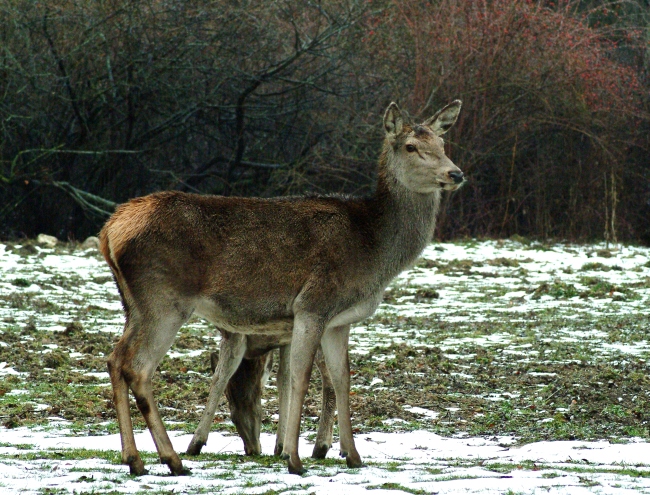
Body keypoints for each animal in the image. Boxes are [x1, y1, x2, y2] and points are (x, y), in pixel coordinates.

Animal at [98, 100, 464, 476]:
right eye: (411, 146)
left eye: (442, 143)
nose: (455, 174)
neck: (372, 249)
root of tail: (110, 229)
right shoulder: (312, 304)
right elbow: (300, 378)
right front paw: (293, 458)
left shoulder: (339, 321)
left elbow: (341, 379)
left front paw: (353, 456)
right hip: (164, 300)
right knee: (138, 368)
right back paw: (172, 459)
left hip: (134, 305)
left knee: (114, 359)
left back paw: (135, 459)